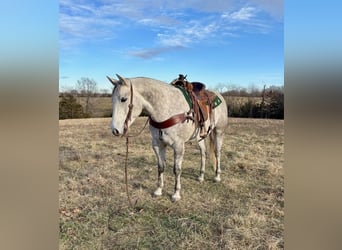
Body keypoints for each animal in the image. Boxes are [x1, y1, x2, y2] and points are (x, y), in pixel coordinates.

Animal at [108, 73, 228, 201]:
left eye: (123, 99)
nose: (115, 130)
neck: (166, 109)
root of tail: (219, 96)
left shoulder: (178, 146)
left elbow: (177, 170)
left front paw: (176, 194)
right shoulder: (158, 144)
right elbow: (161, 167)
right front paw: (158, 190)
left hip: (218, 132)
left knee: (217, 153)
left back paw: (217, 176)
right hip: (200, 136)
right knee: (203, 153)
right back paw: (201, 176)